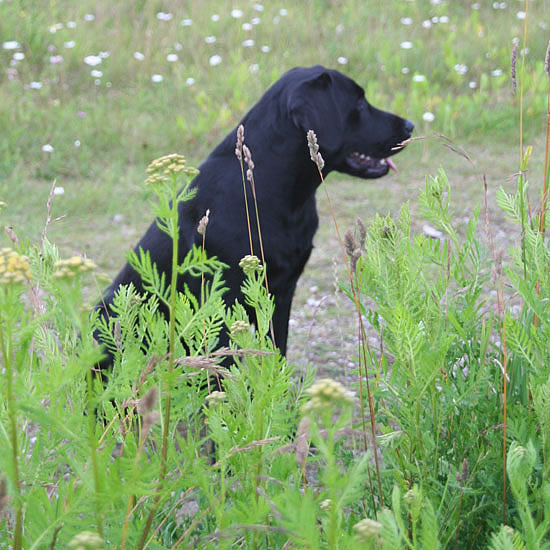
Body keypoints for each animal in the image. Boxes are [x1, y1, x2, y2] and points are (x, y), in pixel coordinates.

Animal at [98, 66, 414, 362]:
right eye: (359, 102)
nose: (410, 125)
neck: (277, 191)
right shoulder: (222, 300)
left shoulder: (283, 291)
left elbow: (278, 349)